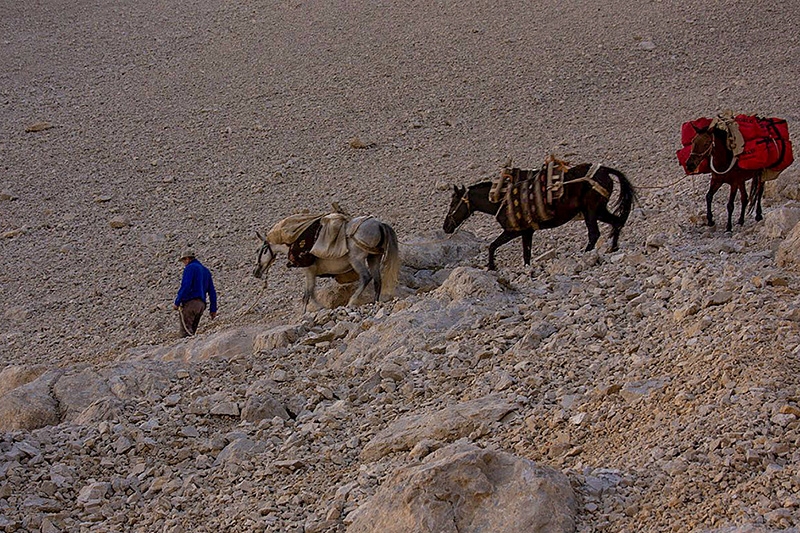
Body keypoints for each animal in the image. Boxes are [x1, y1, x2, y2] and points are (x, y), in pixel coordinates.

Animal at [255, 214, 400, 310]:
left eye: (260, 251)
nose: (256, 272)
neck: (292, 243)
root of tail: (379, 224)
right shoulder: (312, 272)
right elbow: (310, 293)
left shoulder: (309, 270)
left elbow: (307, 295)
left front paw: (307, 313)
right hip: (373, 257)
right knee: (377, 280)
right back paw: (375, 302)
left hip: (356, 259)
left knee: (366, 277)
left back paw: (351, 302)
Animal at [444, 163, 636, 270]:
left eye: (453, 203)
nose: (446, 226)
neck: (499, 198)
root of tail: (604, 170)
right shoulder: (527, 231)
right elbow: (526, 254)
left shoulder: (513, 230)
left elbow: (492, 246)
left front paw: (491, 266)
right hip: (599, 210)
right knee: (617, 222)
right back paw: (613, 248)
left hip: (590, 210)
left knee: (595, 233)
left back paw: (586, 254)